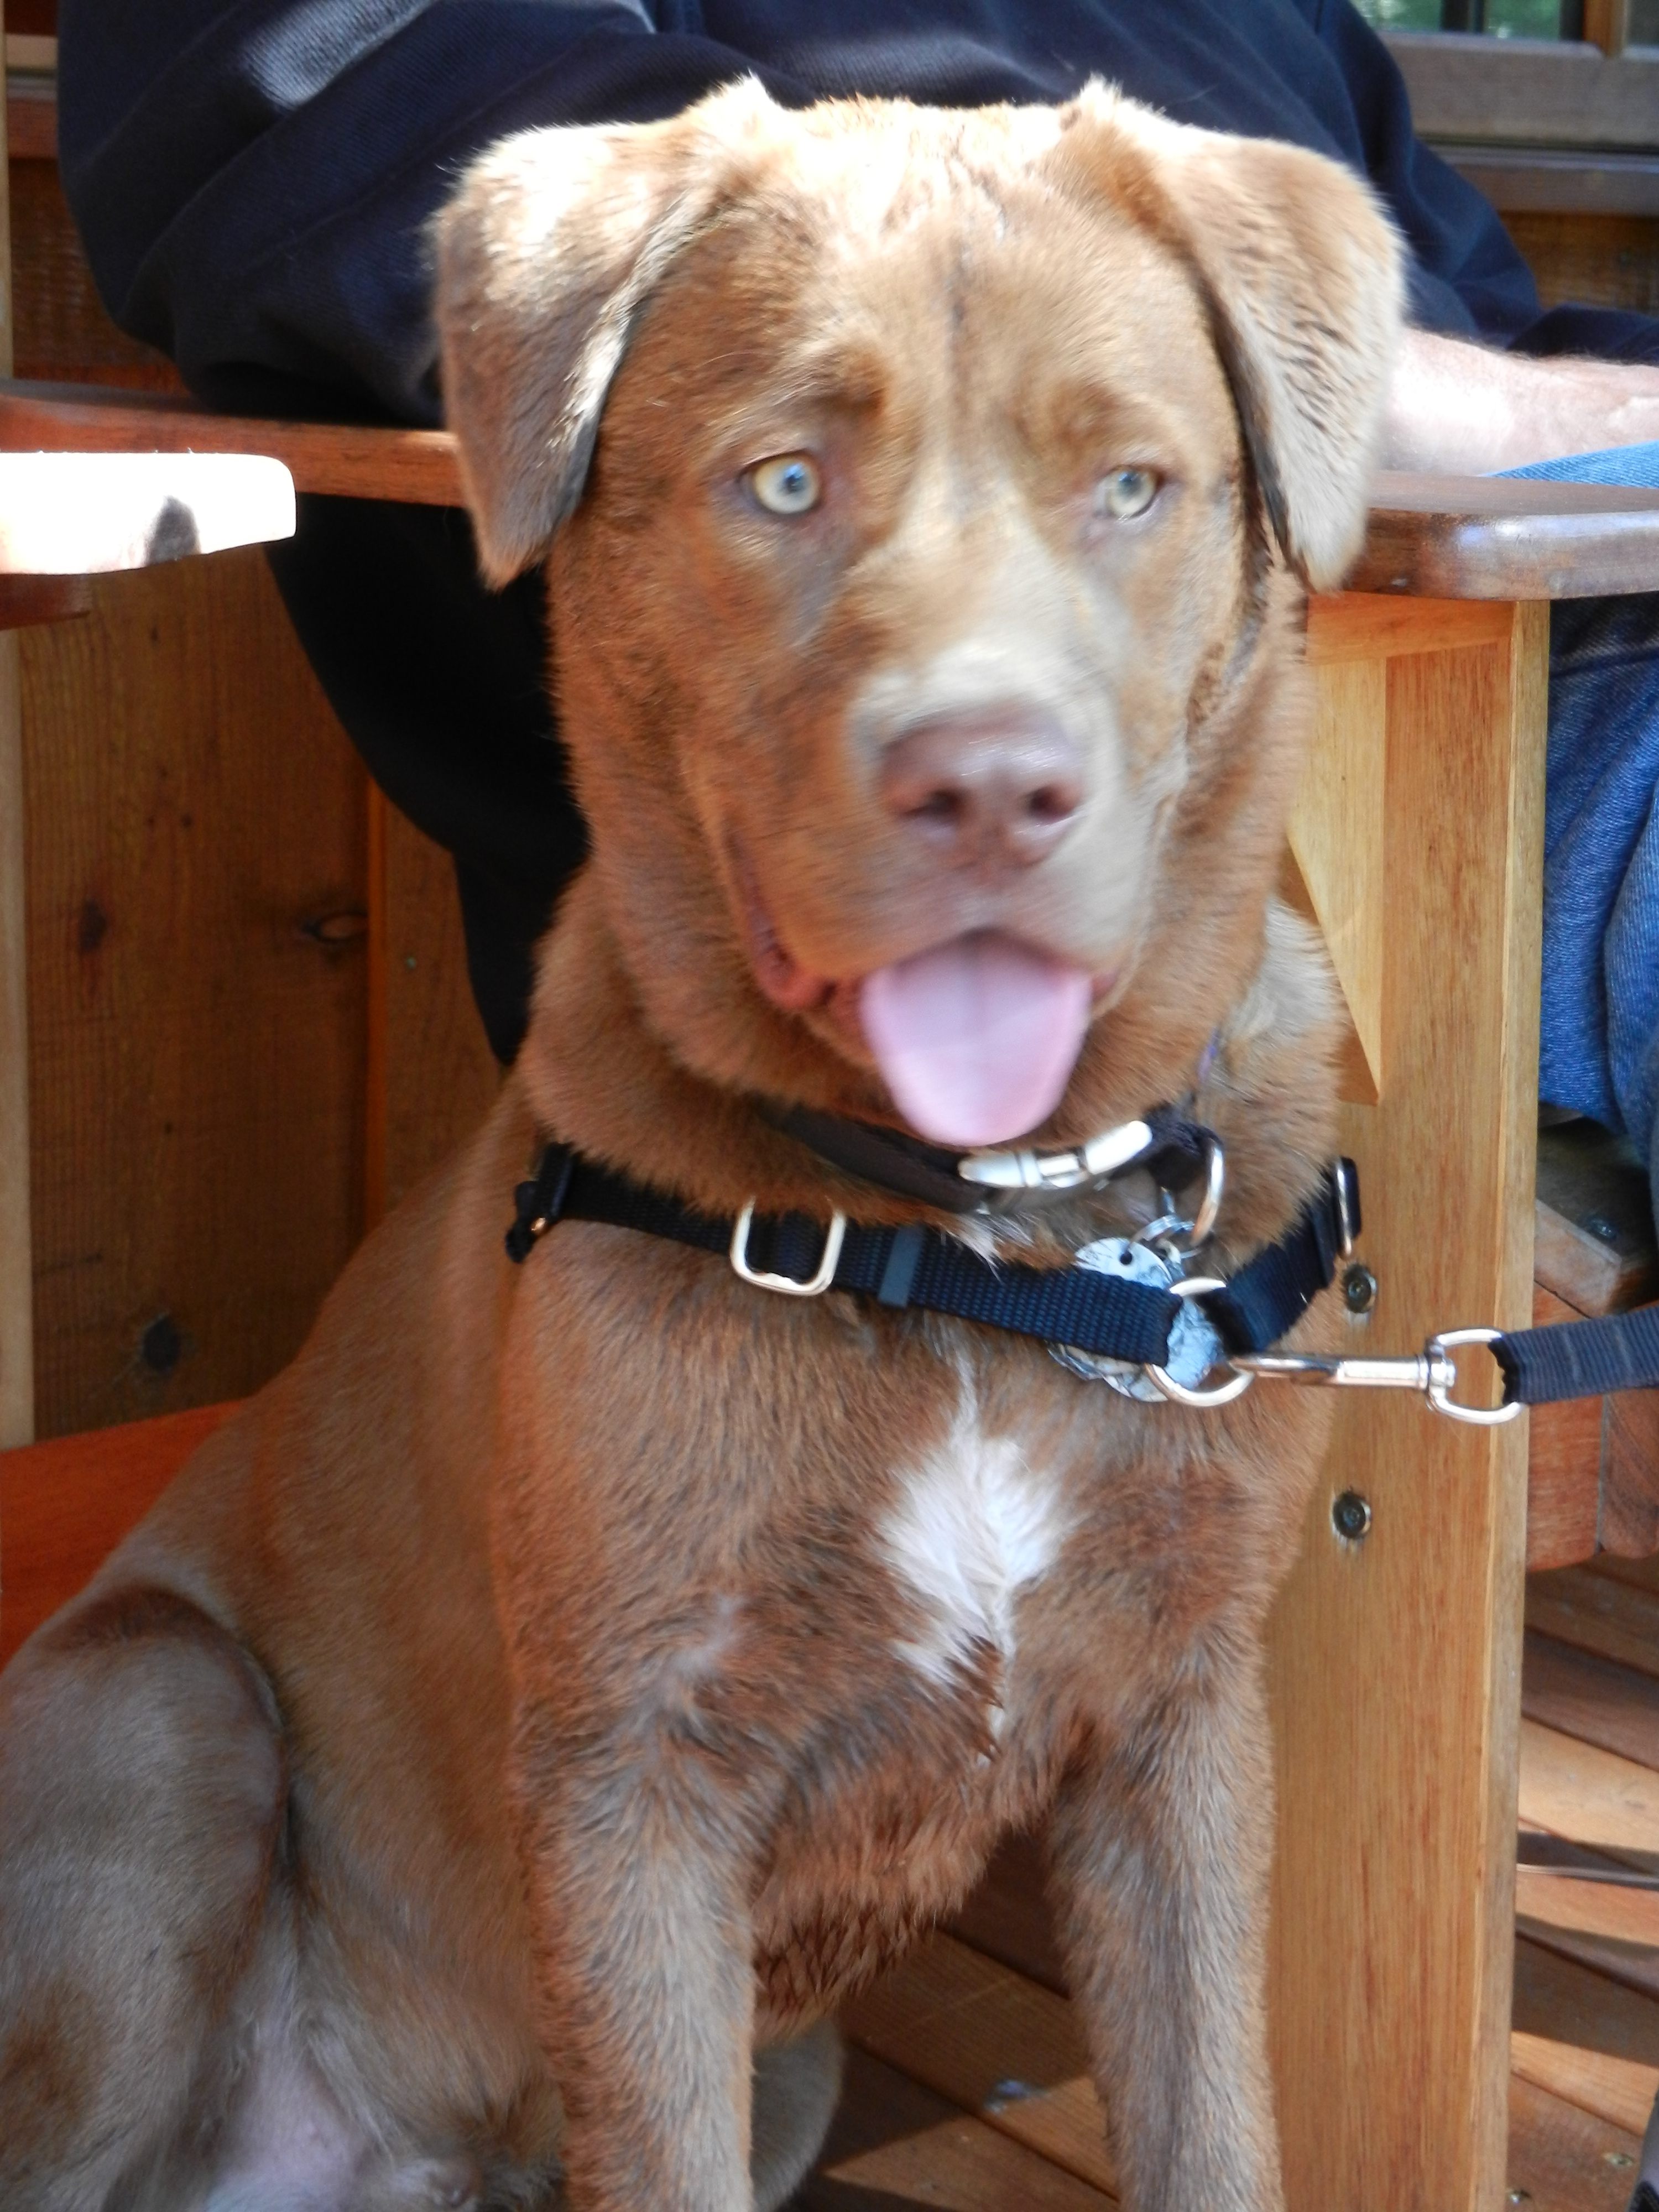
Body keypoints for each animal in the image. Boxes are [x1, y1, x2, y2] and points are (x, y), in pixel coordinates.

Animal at [0, 79, 1401, 2212]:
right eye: (787, 482)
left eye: (1132, 486)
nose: (987, 785)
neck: (972, 1231)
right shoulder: (634, 1778)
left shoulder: (1178, 1719)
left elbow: (1213, 2126)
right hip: (160, 1714)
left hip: (794, 2065)